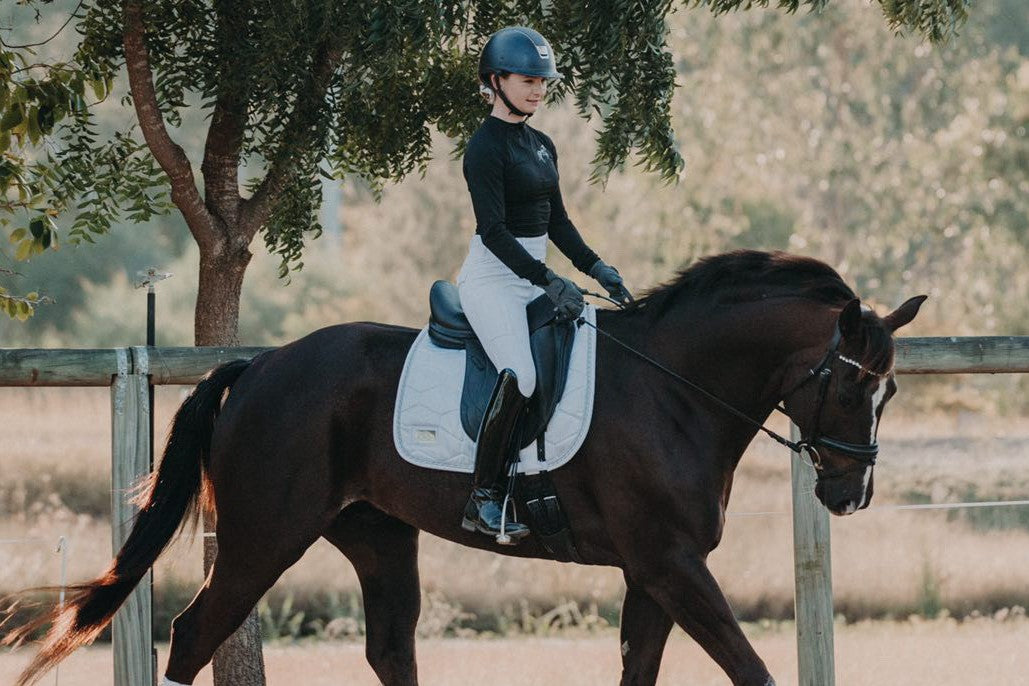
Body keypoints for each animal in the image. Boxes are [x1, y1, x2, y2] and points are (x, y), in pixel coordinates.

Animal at [6, 250, 926, 686]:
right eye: (852, 384)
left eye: (888, 391)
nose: (850, 494)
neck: (676, 387)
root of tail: (261, 365)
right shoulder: (670, 564)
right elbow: (751, 667)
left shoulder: (654, 569)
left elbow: (641, 668)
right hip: (265, 535)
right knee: (198, 631)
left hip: (376, 537)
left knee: (390, 651)